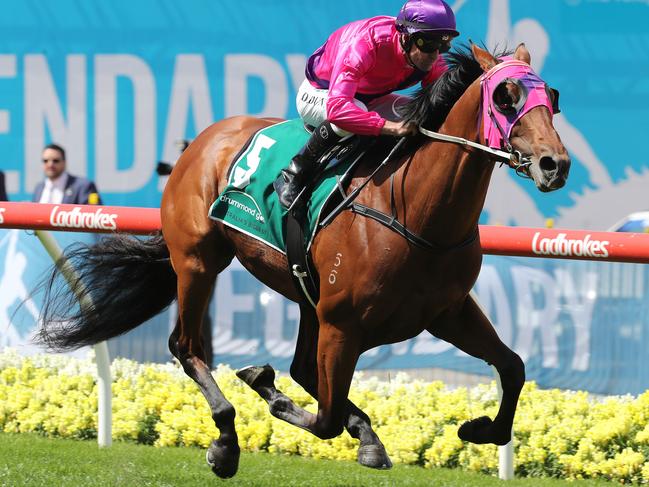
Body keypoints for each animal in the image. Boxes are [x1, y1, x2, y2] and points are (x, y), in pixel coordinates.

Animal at [38, 43, 568, 478]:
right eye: (505, 97)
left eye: (553, 96)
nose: (554, 164)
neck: (414, 210)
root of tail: (203, 139)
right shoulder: (343, 324)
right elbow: (325, 419)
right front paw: (267, 390)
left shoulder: (447, 311)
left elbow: (513, 367)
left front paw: (478, 429)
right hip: (197, 261)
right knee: (186, 347)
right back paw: (226, 443)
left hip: (303, 293)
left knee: (300, 369)